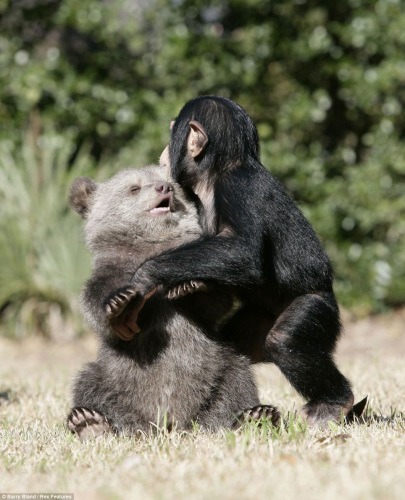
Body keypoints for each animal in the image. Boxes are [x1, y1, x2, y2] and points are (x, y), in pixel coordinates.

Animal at [117, 95, 356, 424]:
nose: (163, 151)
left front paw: (144, 277)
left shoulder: (236, 187)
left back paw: (333, 403)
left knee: (286, 340)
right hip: (257, 320)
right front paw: (189, 285)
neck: (214, 174)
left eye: (172, 130)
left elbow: (242, 250)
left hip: (319, 307)